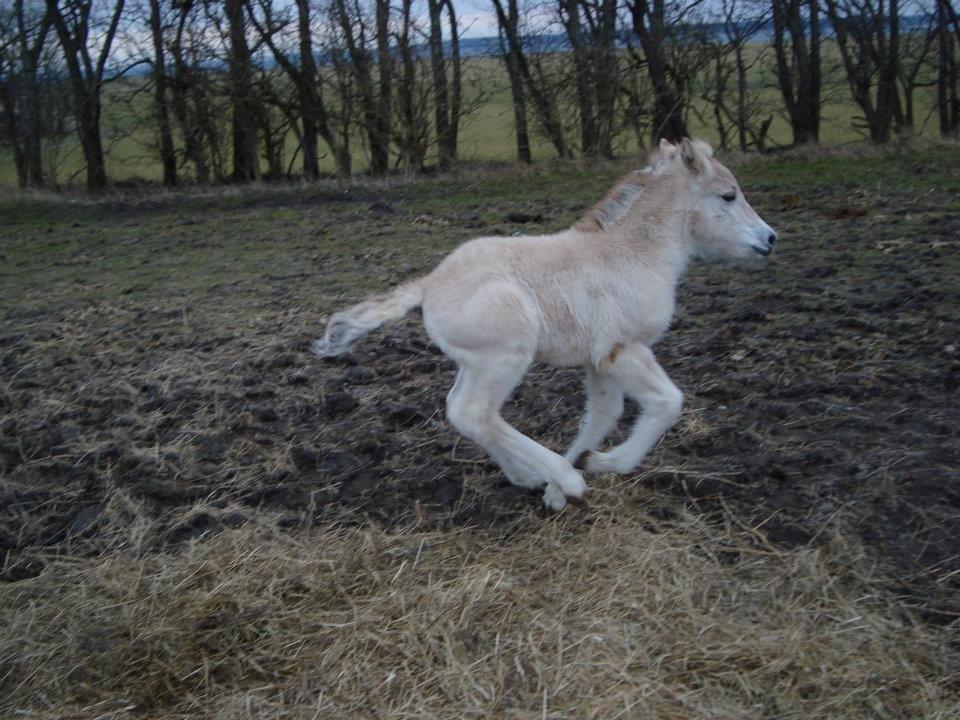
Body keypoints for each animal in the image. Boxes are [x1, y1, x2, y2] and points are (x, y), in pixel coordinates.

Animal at [312, 139, 776, 512]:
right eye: (729, 195)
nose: (770, 239)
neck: (634, 255)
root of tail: (429, 285)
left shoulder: (599, 360)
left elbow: (602, 415)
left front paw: (570, 477)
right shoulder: (623, 348)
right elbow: (666, 403)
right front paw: (601, 465)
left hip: (476, 362)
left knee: (463, 410)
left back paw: (532, 477)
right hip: (505, 356)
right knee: (473, 412)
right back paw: (561, 477)